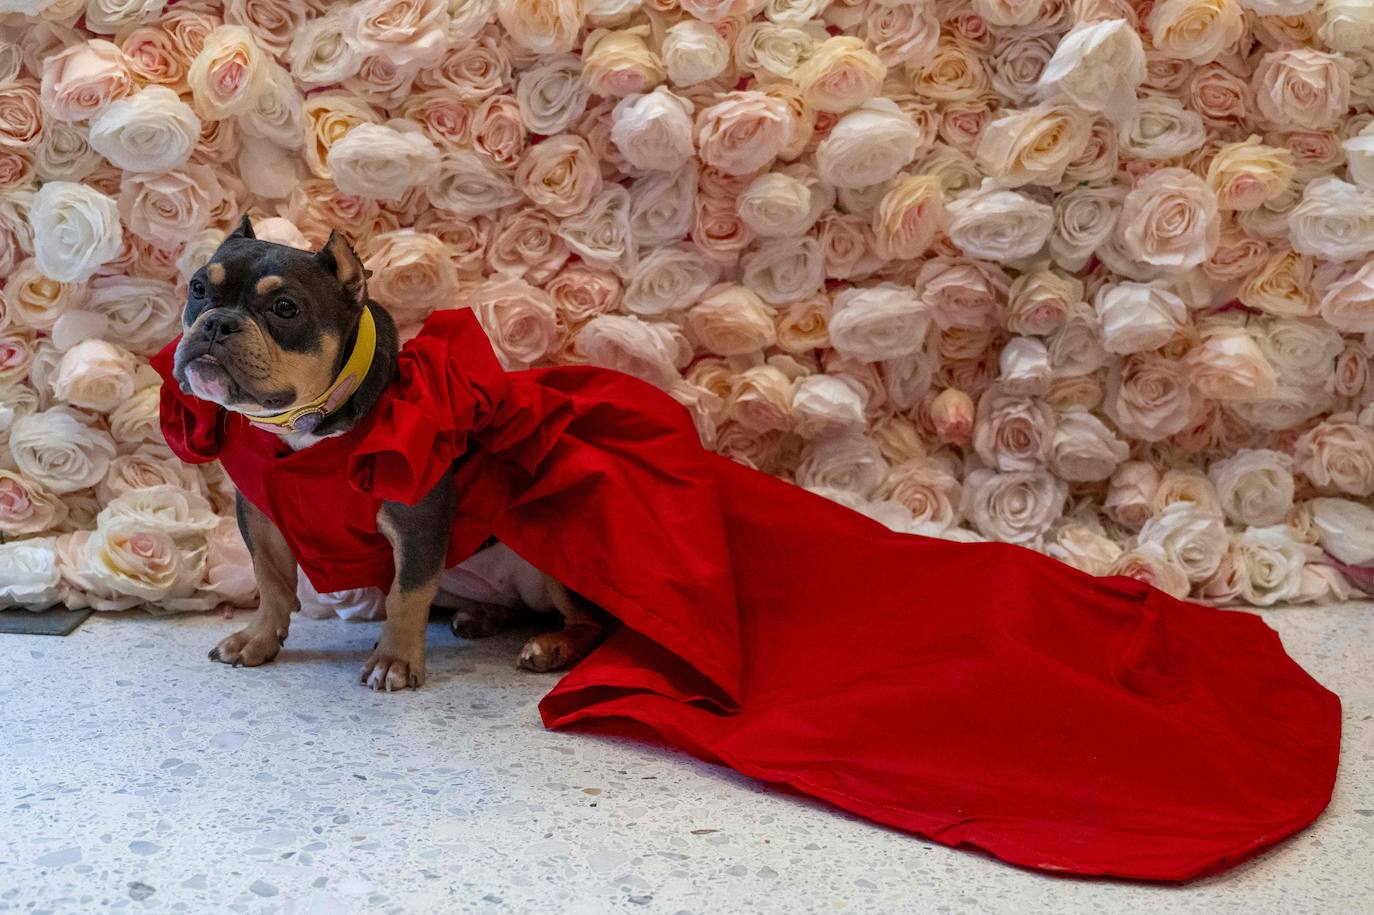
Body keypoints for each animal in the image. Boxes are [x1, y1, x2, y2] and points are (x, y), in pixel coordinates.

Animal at [170, 217, 607, 686]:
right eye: (198, 289)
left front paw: (395, 659)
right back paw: (484, 615)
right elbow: (271, 581)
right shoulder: (259, 514)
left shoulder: (418, 518)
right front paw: (258, 638)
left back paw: (553, 645)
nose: (218, 324)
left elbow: (407, 593)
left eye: (285, 309)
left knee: (589, 622)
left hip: (552, 560)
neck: (309, 425)